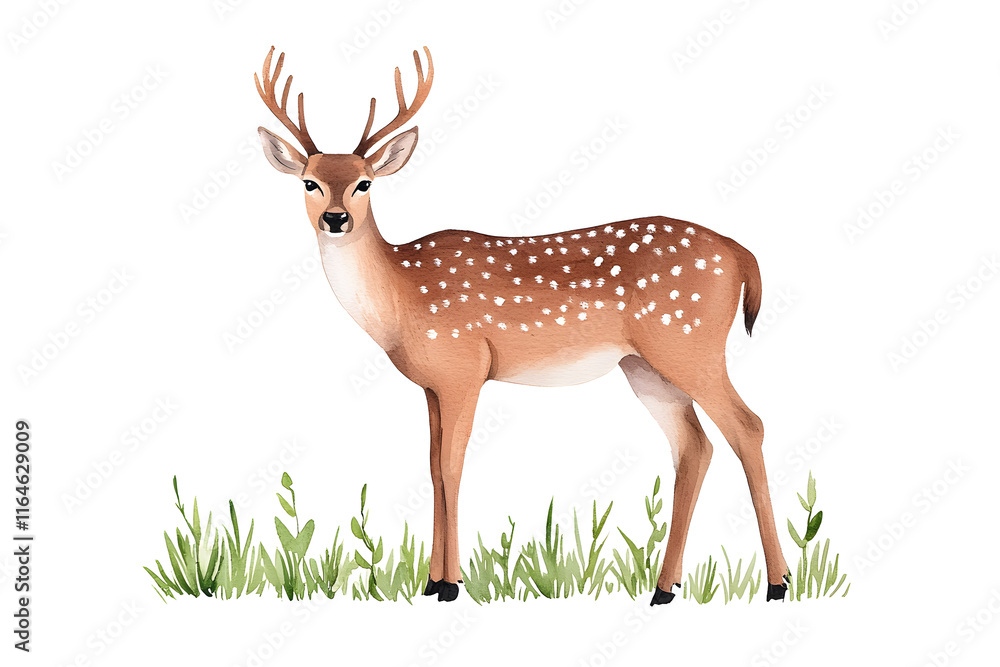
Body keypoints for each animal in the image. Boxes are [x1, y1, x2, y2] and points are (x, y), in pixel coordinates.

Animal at [254, 46, 789, 604]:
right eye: (310, 181)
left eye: (365, 182)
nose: (336, 218)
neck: (401, 298)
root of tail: (740, 253)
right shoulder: (432, 385)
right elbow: (431, 467)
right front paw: (431, 581)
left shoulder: (464, 368)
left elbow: (451, 467)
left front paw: (451, 584)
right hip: (646, 367)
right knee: (694, 447)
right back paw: (666, 588)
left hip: (689, 342)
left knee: (747, 425)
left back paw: (777, 582)